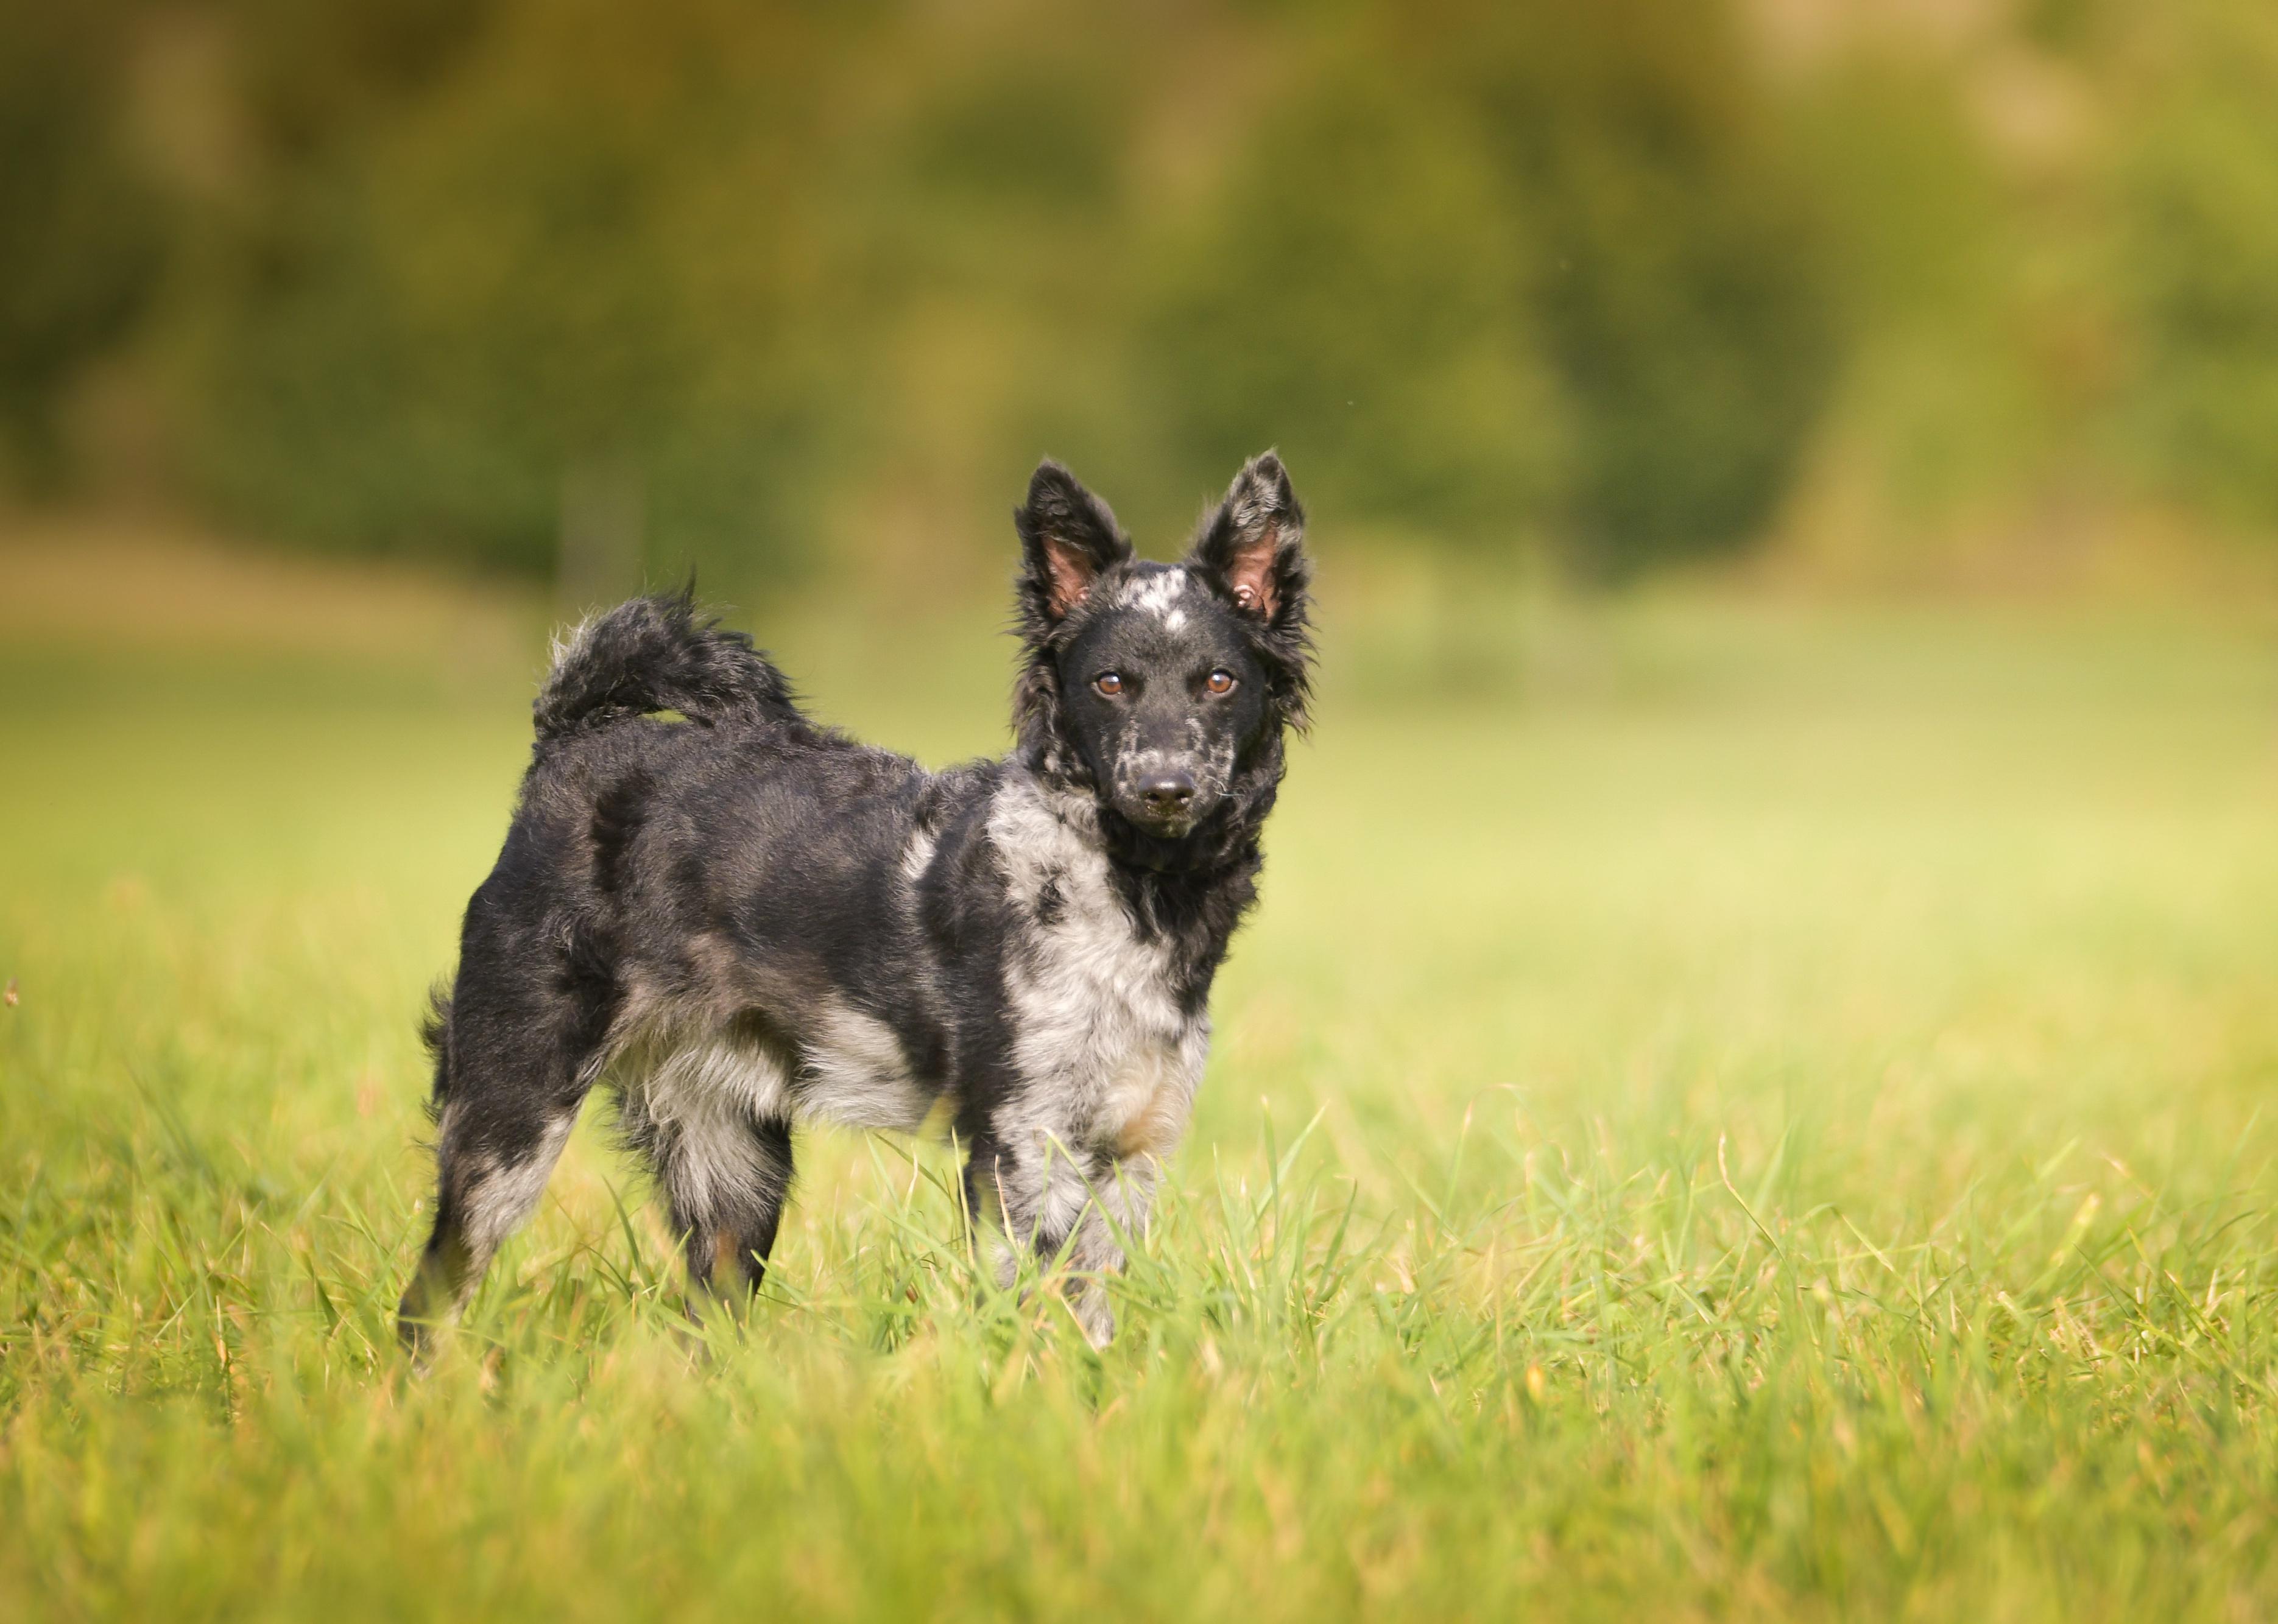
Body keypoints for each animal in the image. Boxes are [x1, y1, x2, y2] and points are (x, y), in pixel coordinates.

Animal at [401, 446, 1312, 1339]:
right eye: (1112, 683)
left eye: (1219, 682)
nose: (1166, 788)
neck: (1135, 888)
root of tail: (573, 739)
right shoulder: (1022, 1145)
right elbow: (1029, 1321)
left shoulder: (1130, 1153)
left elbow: (1087, 1324)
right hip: (511, 1123)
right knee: (428, 1302)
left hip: (731, 1177)